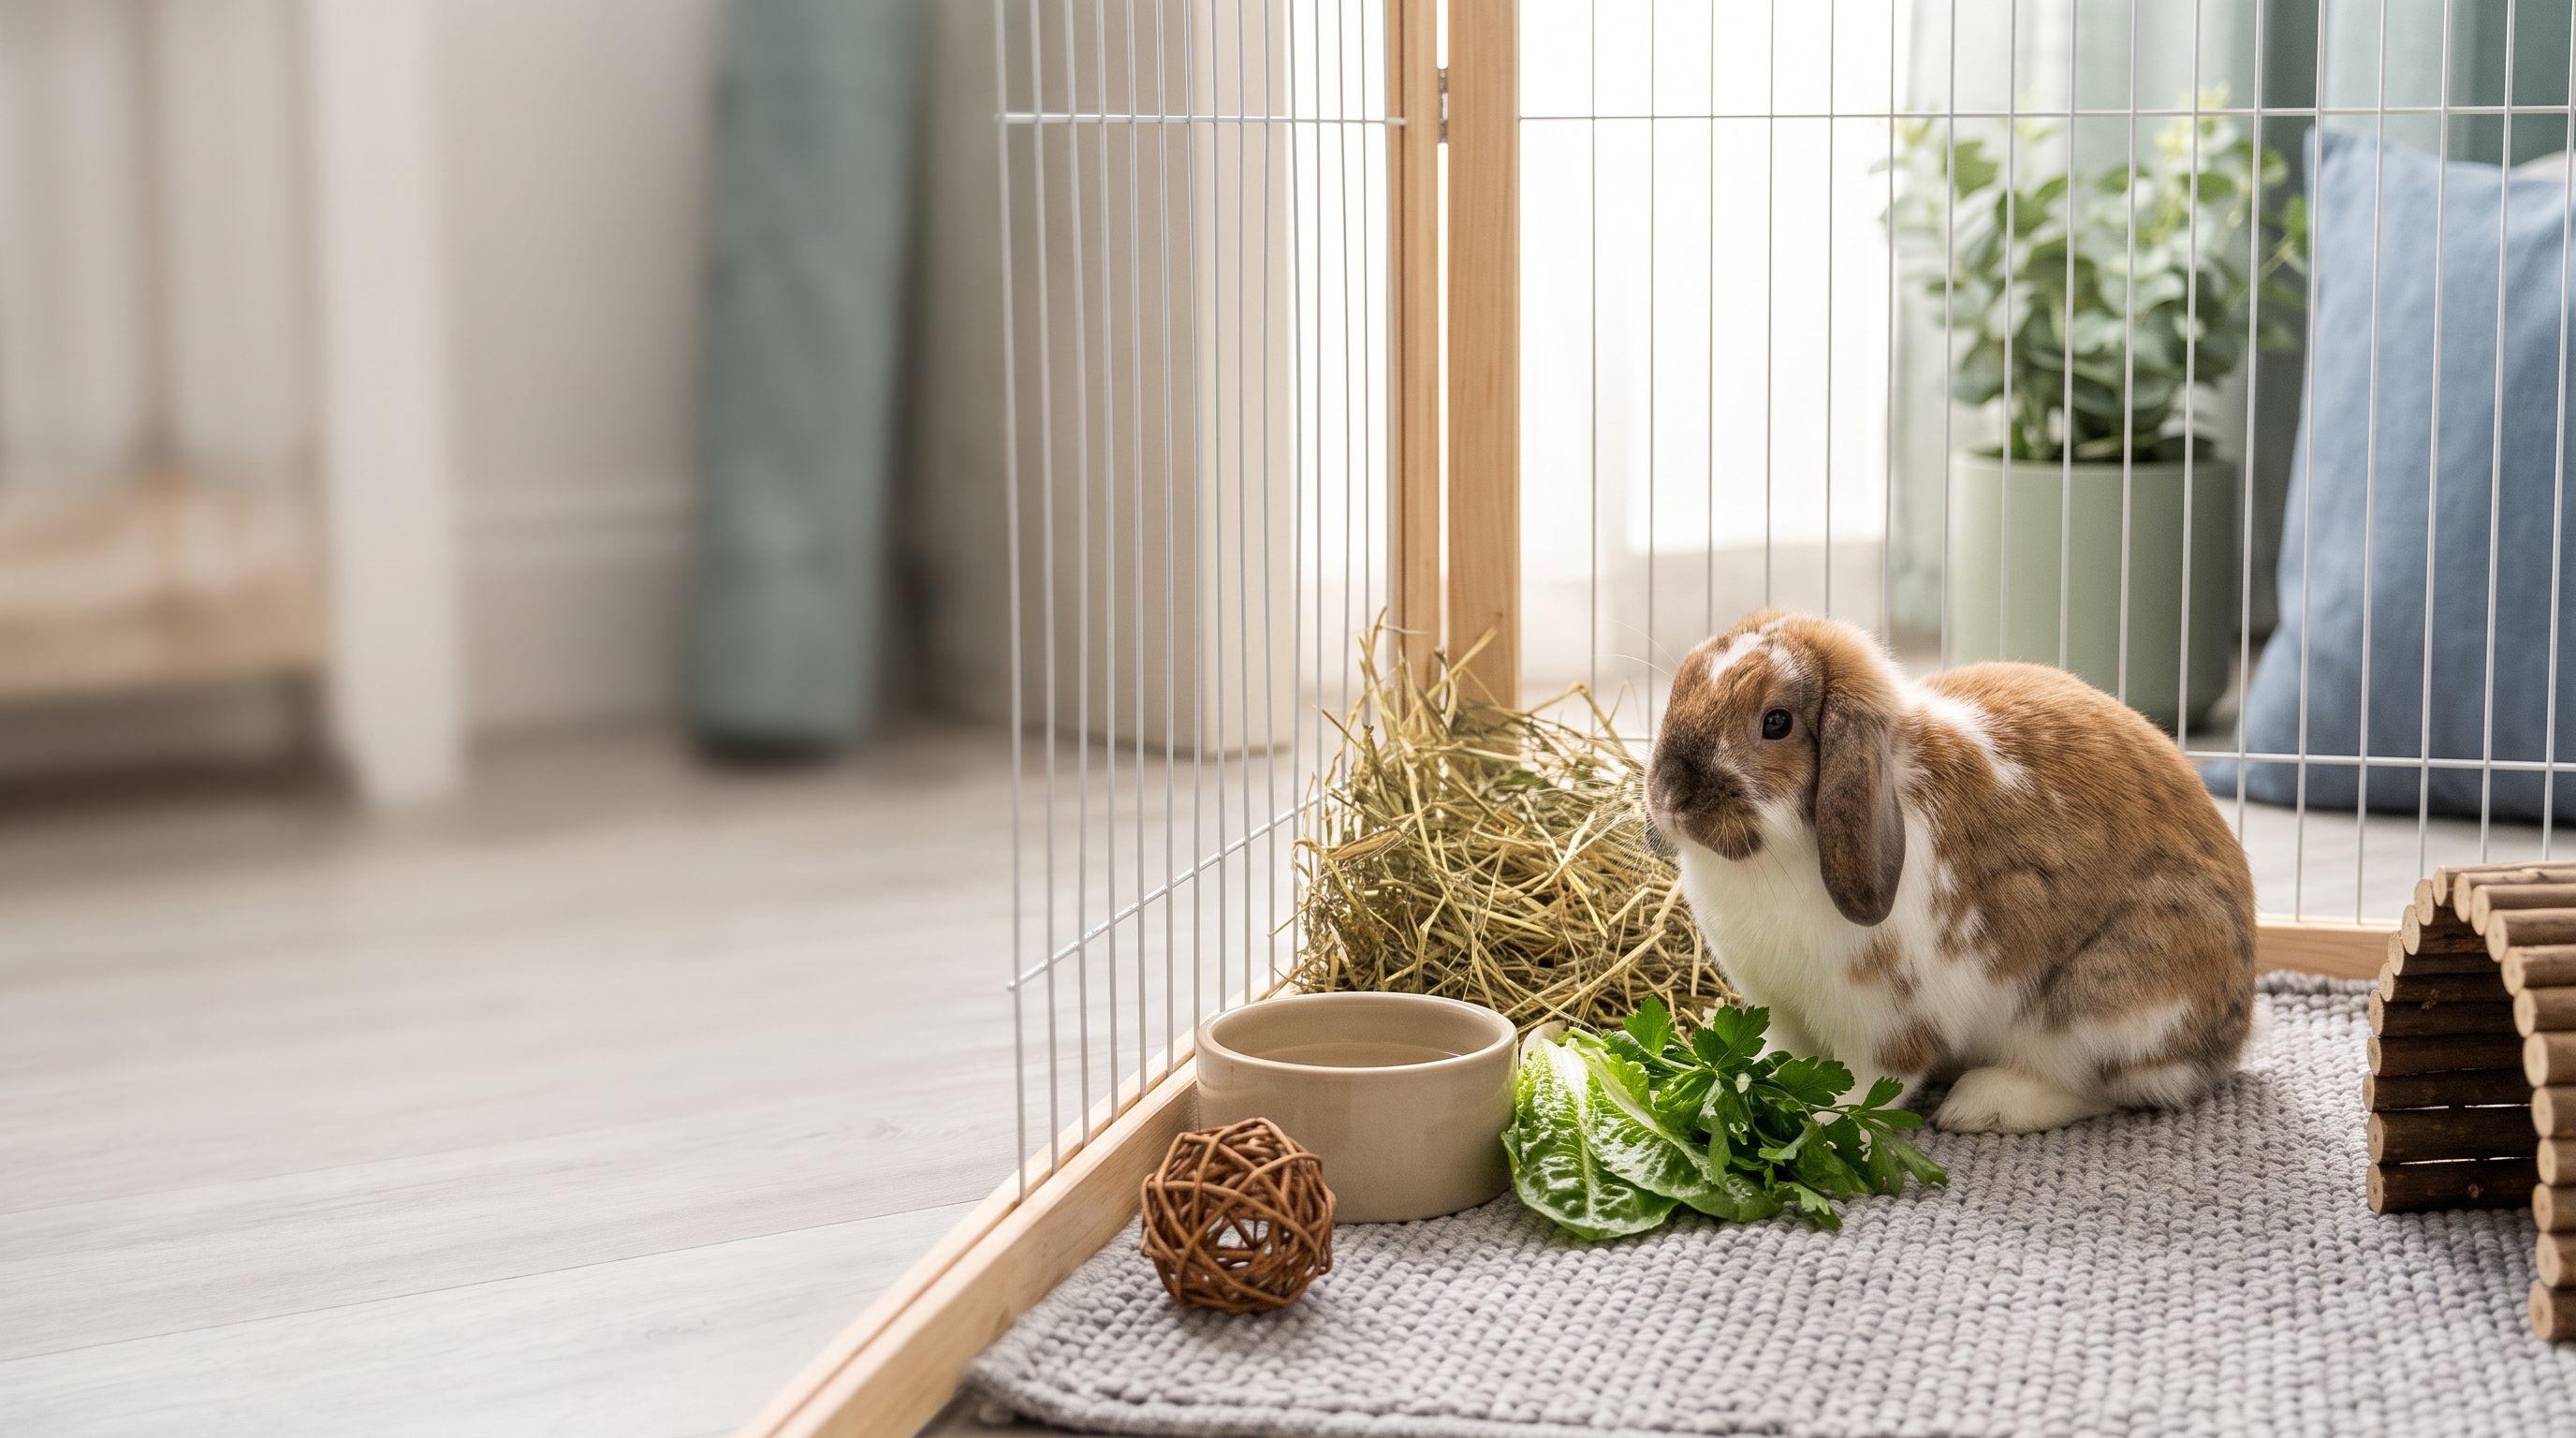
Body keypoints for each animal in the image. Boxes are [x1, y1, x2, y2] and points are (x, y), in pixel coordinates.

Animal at [1642, 608, 2257, 1134]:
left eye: (1776, 722)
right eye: (1681, 686)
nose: (1670, 794)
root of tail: (2235, 1032)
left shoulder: (1886, 1022)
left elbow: (1867, 1086)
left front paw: (1823, 1124)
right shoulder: (1779, 1007)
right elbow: (1781, 1053)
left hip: (2108, 1011)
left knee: (2116, 1087)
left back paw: (1983, 1106)